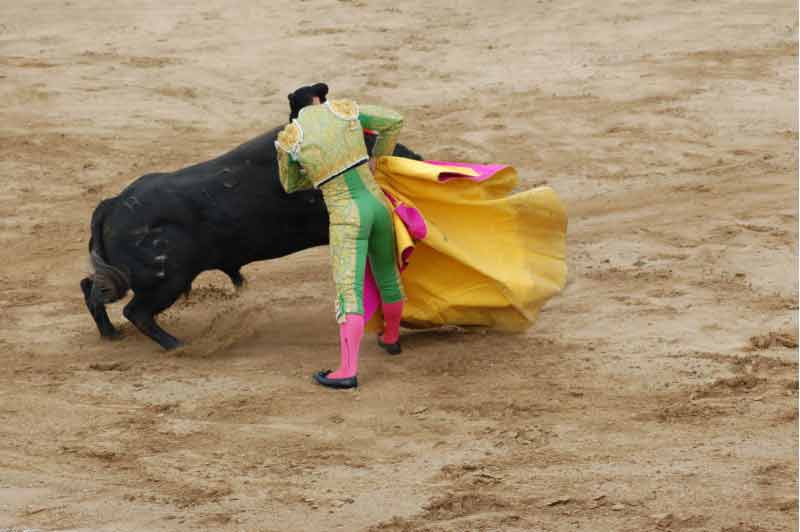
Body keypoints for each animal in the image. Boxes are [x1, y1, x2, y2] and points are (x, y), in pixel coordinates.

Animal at [79, 128, 418, 350]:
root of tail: (113, 203)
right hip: (167, 279)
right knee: (135, 311)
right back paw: (177, 345)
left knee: (92, 288)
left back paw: (111, 334)